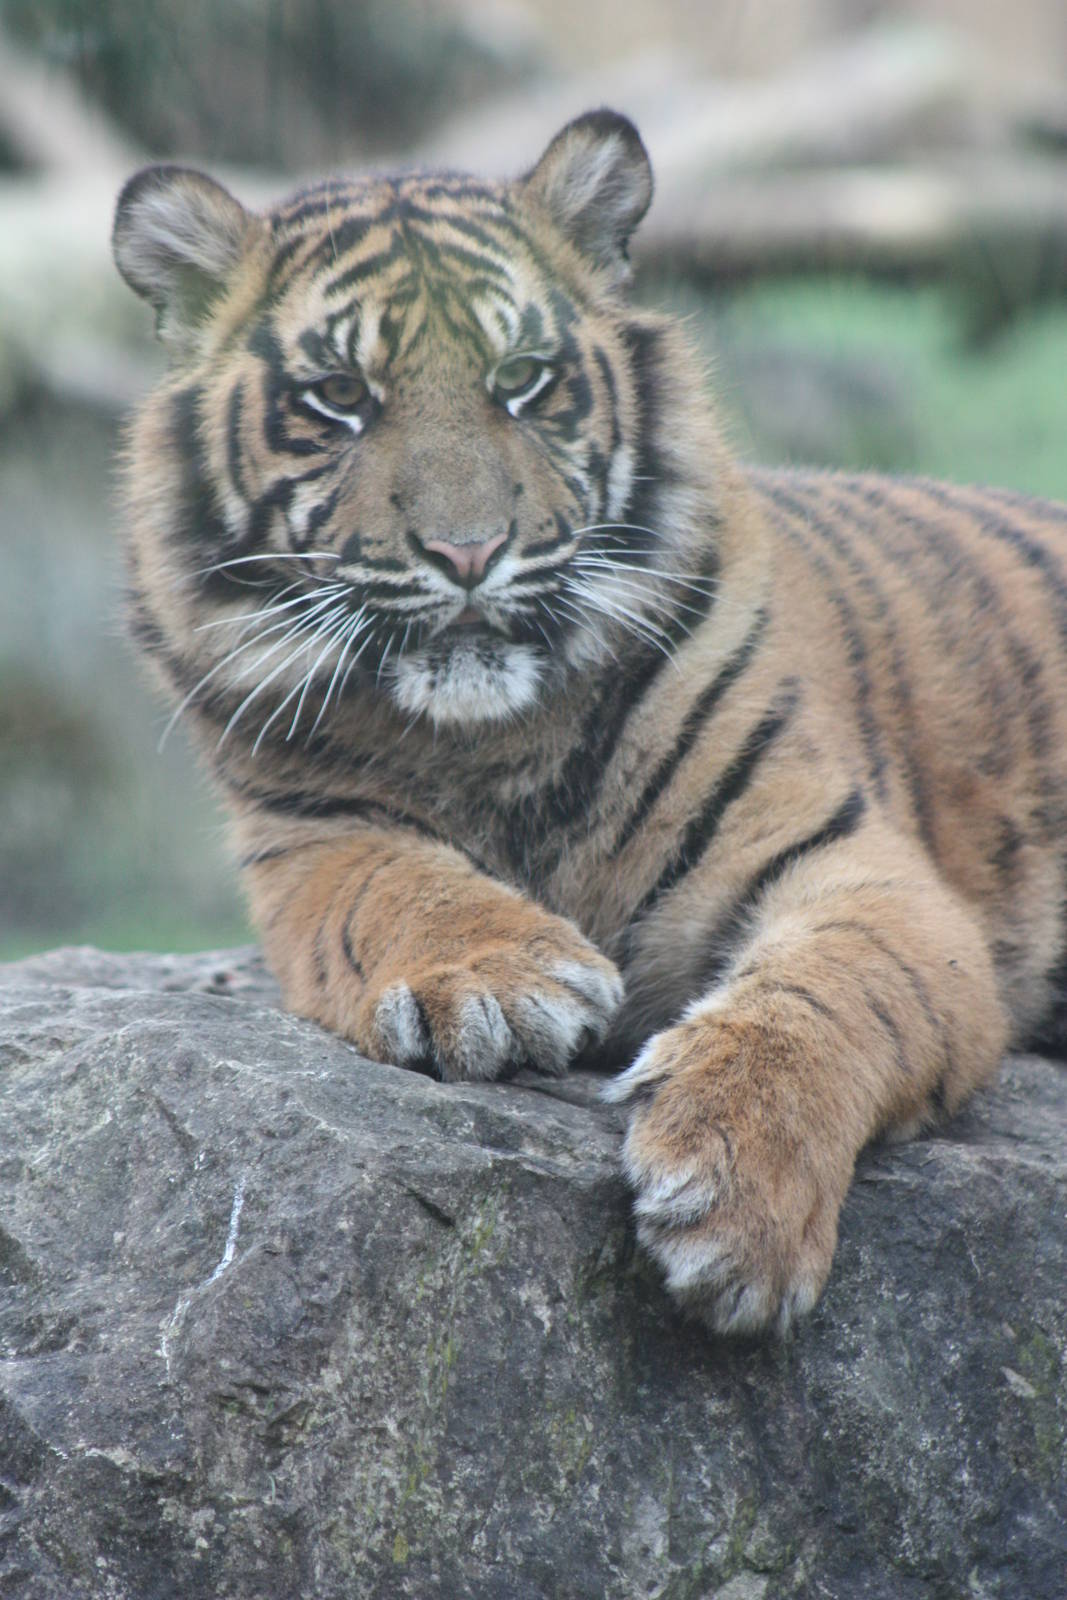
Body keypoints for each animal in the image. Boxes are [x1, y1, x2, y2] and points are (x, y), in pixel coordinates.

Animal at [111, 109, 1067, 1336]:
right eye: (337, 396)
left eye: (522, 380)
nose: (467, 552)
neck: (493, 739)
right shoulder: (310, 839)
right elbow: (395, 885)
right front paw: (497, 982)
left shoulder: (861, 869)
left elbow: (825, 995)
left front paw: (736, 1195)